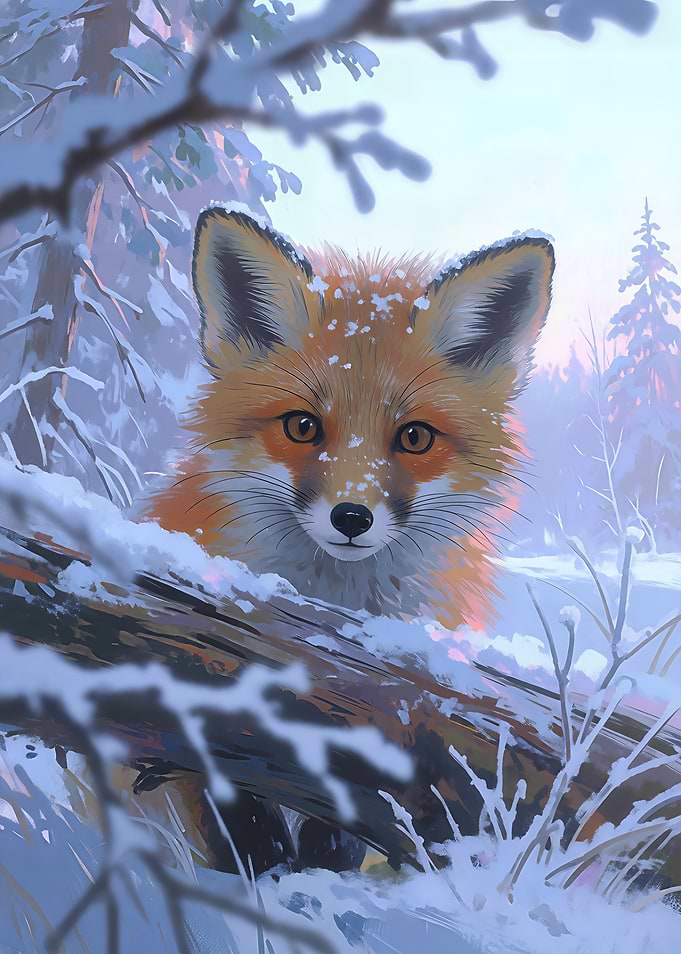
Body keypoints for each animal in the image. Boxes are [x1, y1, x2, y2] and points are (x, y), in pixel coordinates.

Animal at [141, 205, 555, 875]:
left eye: (414, 438)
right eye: (302, 427)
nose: (352, 517)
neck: (332, 615)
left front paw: (315, 868)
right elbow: (226, 807)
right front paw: (264, 870)